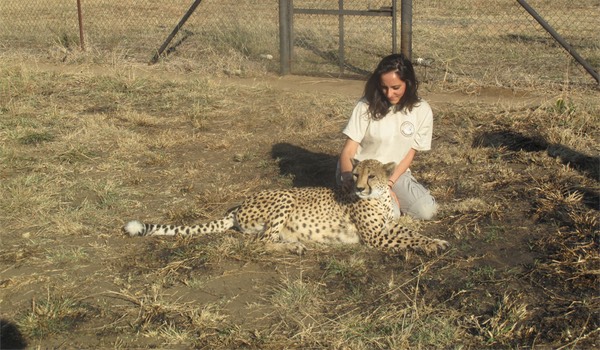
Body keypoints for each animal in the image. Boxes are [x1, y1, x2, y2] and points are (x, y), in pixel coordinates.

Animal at [124, 160, 448, 256]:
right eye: (356, 174)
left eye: (372, 176)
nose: (358, 188)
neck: (379, 197)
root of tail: (238, 207)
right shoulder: (374, 237)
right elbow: (406, 239)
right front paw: (431, 245)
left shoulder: (386, 226)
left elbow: (409, 231)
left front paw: (435, 239)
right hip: (285, 199)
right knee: (262, 242)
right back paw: (295, 247)